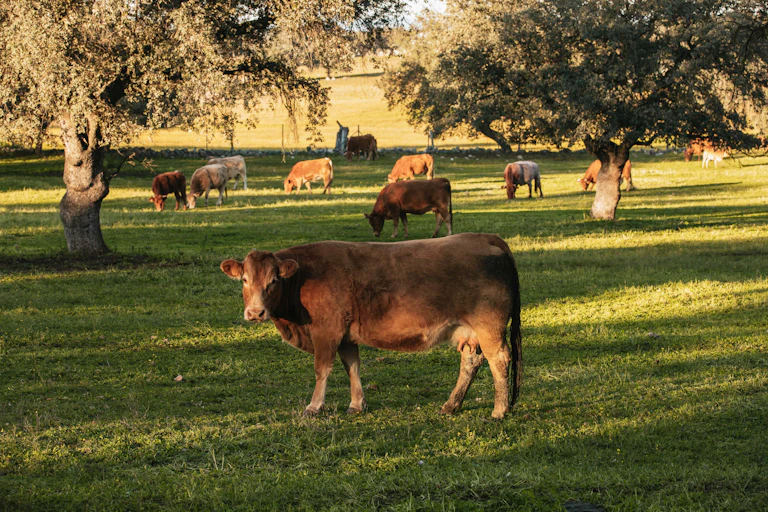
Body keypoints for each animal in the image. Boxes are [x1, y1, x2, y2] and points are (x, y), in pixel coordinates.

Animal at [220, 233, 522, 419]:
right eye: (244, 280)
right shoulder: (346, 335)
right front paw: (356, 404)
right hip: (470, 332)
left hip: (489, 326)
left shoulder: (326, 331)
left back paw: (499, 410)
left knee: (499, 360)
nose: (255, 312)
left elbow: (322, 370)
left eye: (273, 281)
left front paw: (314, 406)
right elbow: (352, 366)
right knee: (471, 362)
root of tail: (485, 238)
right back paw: (451, 405)